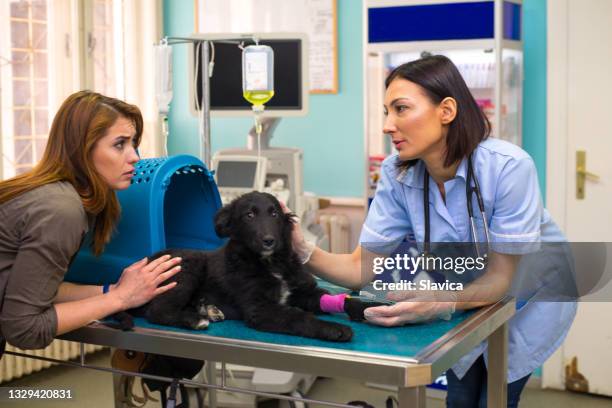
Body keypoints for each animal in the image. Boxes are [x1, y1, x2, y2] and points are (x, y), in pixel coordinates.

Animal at [115, 191, 372, 342]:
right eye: (249, 215)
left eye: (274, 213)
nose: (269, 240)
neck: (270, 263)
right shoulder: (259, 308)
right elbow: (298, 317)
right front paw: (332, 328)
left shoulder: (303, 293)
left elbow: (340, 300)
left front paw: (365, 309)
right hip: (187, 269)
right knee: (158, 310)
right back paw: (196, 319)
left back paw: (206, 309)